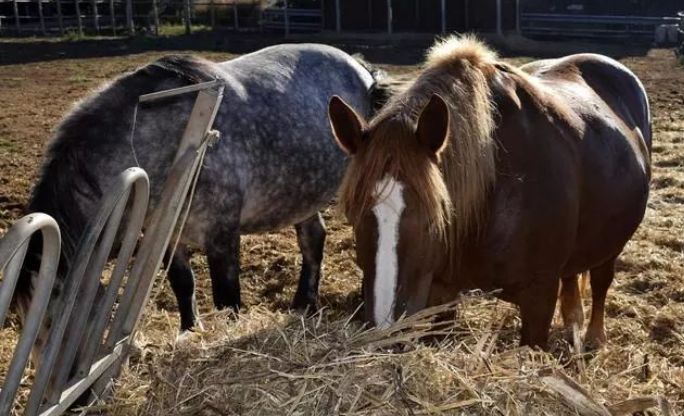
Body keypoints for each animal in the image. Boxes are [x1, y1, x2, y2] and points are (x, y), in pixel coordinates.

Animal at [17, 44, 384, 332]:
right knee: (313, 239)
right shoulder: (166, 235)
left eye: (52, 324)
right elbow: (183, 284)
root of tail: (359, 67)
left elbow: (227, 297)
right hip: (303, 194)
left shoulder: (221, 234)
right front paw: (190, 331)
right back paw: (304, 303)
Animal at [328, 35, 648, 348]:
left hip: (612, 245)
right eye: (353, 216)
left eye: (435, 218)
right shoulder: (443, 290)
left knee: (601, 281)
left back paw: (594, 337)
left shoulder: (540, 296)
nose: (386, 335)